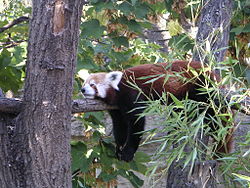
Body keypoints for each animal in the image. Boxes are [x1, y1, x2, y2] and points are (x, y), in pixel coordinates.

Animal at [81, 60, 233, 162]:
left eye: (92, 84)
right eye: (84, 83)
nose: (82, 89)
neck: (118, 90)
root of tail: (211, 72)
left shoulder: (132, 93)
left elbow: (137, 122)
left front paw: (128, 152)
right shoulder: (116, 109)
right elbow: (120, 127)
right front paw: (119, 148)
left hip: (201, 87)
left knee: (214, 116)